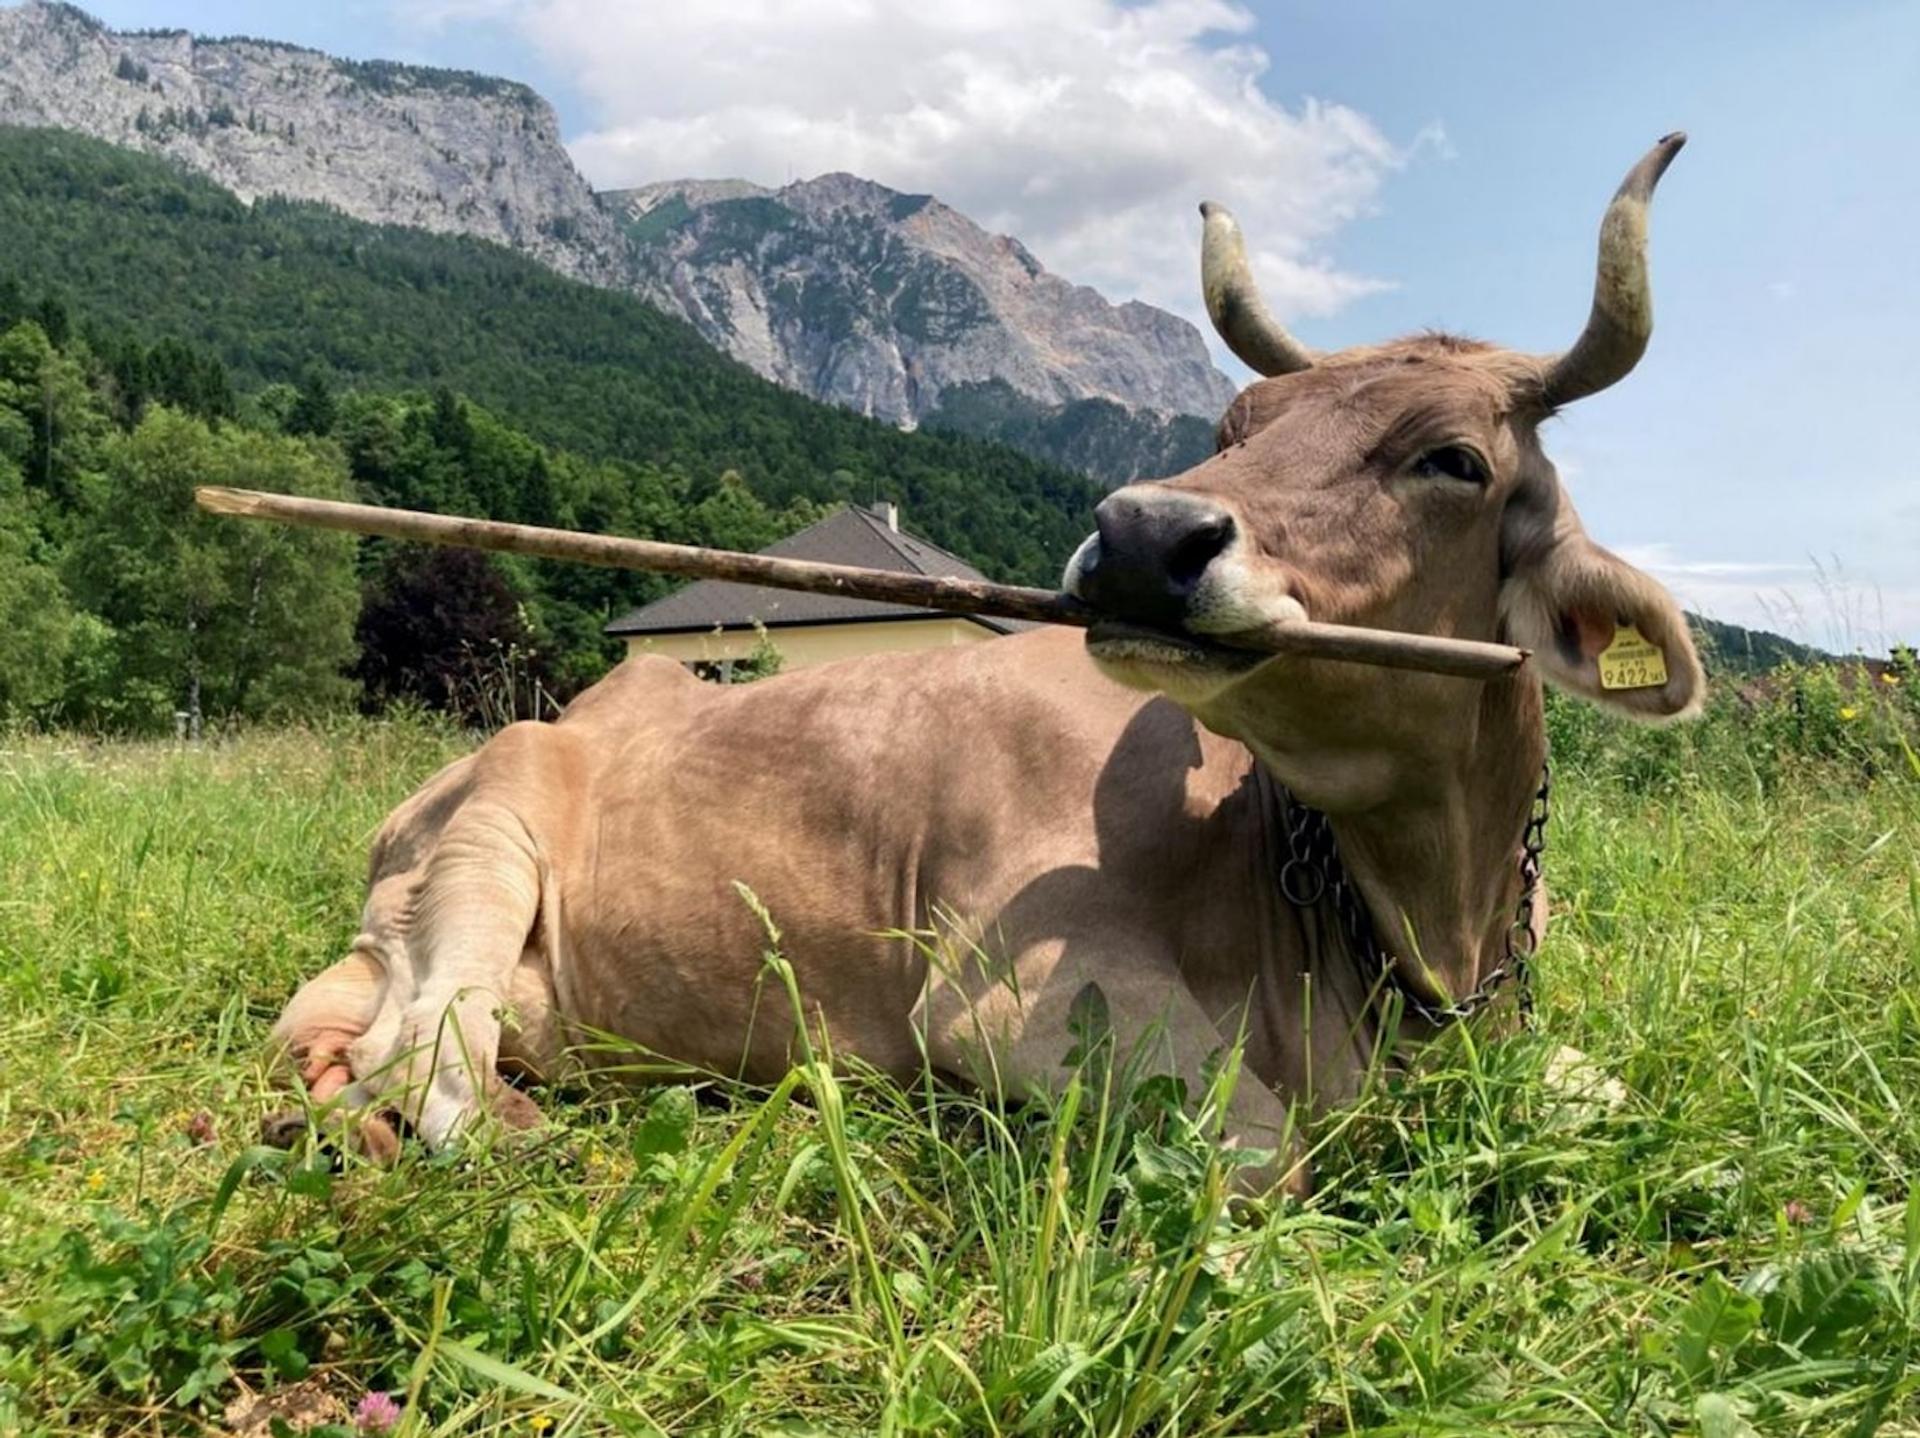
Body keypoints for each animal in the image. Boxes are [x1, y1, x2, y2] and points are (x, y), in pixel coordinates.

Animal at [268, 136, 1704, 1192]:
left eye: (1453, 458)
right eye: (1234, 424)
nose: (1142, 535)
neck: (1422, 933)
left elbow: (1622, 1089)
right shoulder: (1012, 997)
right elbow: (1267, 1152)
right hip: (489, 839)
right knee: (428, 1060)